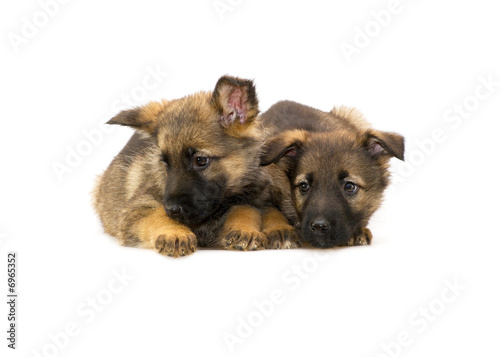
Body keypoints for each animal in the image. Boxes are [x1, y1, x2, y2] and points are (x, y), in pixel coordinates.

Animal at [93, 76, 296, 258]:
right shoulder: (137, 208)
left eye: (200, 160)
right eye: (165, 162)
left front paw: (244, 228)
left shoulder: (253, 197)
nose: (172, 210)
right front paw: (174, 232)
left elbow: (246, 209)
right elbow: (156, 215)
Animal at [260, 101, 404, 248]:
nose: (319, 227)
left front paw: (358, 230)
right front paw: (281, 230)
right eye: (304, 186)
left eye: (349, 186)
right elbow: (271, 210)